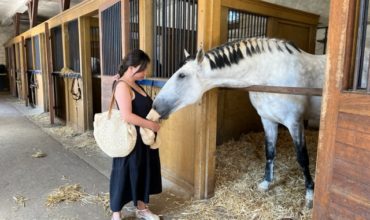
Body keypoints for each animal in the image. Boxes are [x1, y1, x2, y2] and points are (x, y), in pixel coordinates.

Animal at [153, 37, 326, 206]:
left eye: (182, 75)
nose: (155, 105)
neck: (270, 76)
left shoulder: (294, 122)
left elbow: (302, 158)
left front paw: (310, 193)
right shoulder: (268, 120)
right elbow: (270, 152)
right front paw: (265, 183)